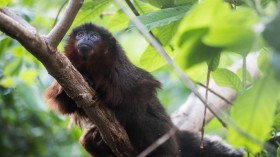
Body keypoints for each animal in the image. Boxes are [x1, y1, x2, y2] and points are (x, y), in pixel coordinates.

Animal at [44, 23, 244, 157]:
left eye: (93, 36)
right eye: (80, 35)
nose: (85, 39)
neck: (94, 66)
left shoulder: (122, 74)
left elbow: (139, 97)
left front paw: (104, 97)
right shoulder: (69, 66)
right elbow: (65, 102)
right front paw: (86, 81)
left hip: (164, 137)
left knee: (141, 117)